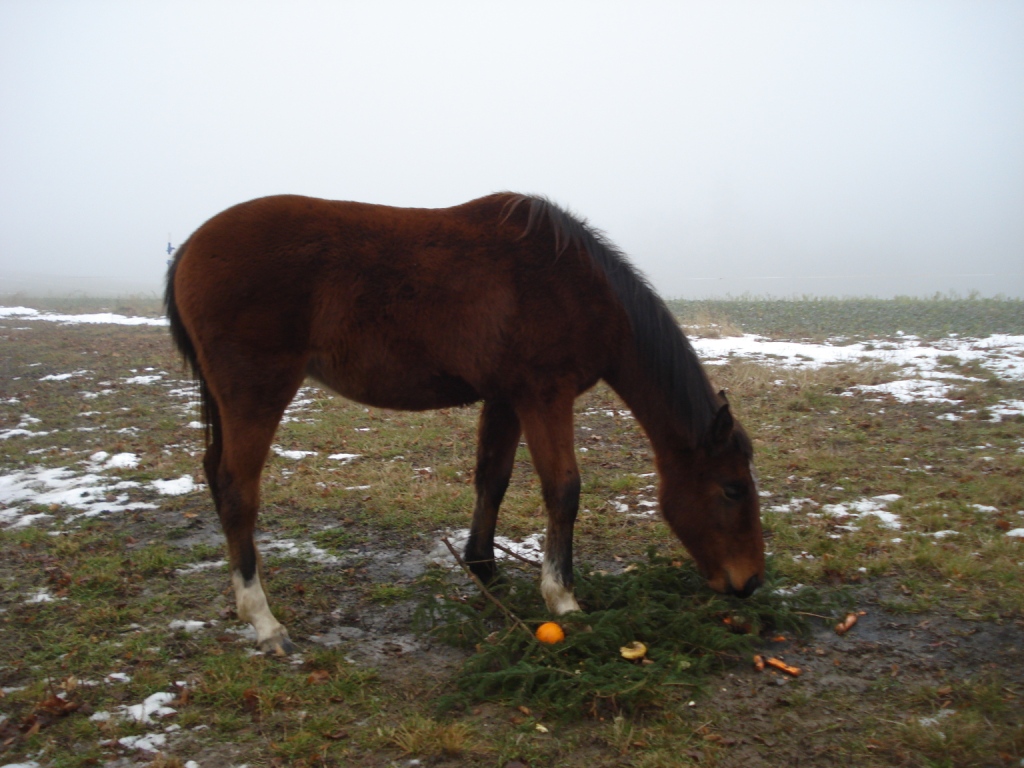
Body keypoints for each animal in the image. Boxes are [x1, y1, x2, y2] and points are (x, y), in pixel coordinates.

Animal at [163, 193, 765, 655]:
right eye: (732, 489)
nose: (751, 581)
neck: (575, 284)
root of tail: (190, 245)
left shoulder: (506, 398)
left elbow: (492, 480)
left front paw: (486, 570)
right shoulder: (545, 396)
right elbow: (563, 489)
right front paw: (563, 598)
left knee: (217, 476)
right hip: (256, 393)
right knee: (238, 490)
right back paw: (264, 621)